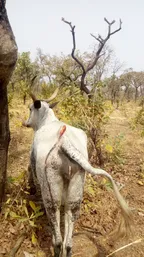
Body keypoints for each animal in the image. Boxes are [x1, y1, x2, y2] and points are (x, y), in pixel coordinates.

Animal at [24, 91, 132, 255]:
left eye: (30, 109)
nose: (26, 123)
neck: (47, 121)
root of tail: (64, 142)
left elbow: (29, 170)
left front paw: (30, 189)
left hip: (50, 191)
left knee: (57, 238)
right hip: (77, 187)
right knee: (68, 240)